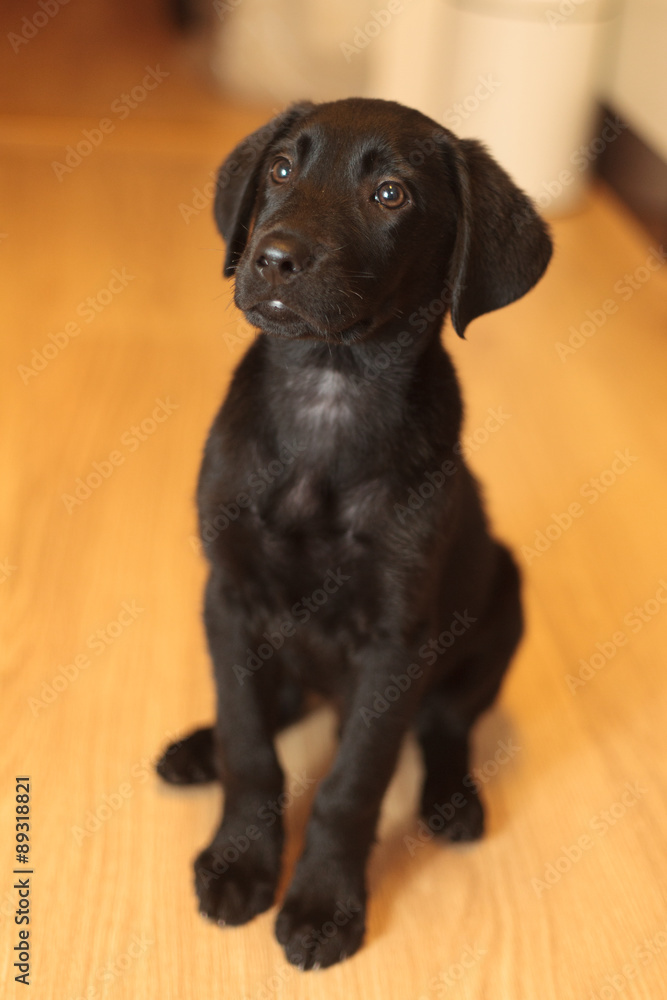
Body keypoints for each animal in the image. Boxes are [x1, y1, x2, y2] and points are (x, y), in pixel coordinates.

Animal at [158, 99, 552, 968]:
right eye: (279, 169)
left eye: (390, 195)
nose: (272, 259)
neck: (327, 395)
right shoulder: (228, 597)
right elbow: (249, 745)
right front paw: (240, 860)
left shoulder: (395, 643)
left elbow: (352, 783)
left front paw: (322, 903)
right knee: (266, 703)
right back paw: (198, 747)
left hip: (501, 605)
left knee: (444, 726)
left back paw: (451, 800)